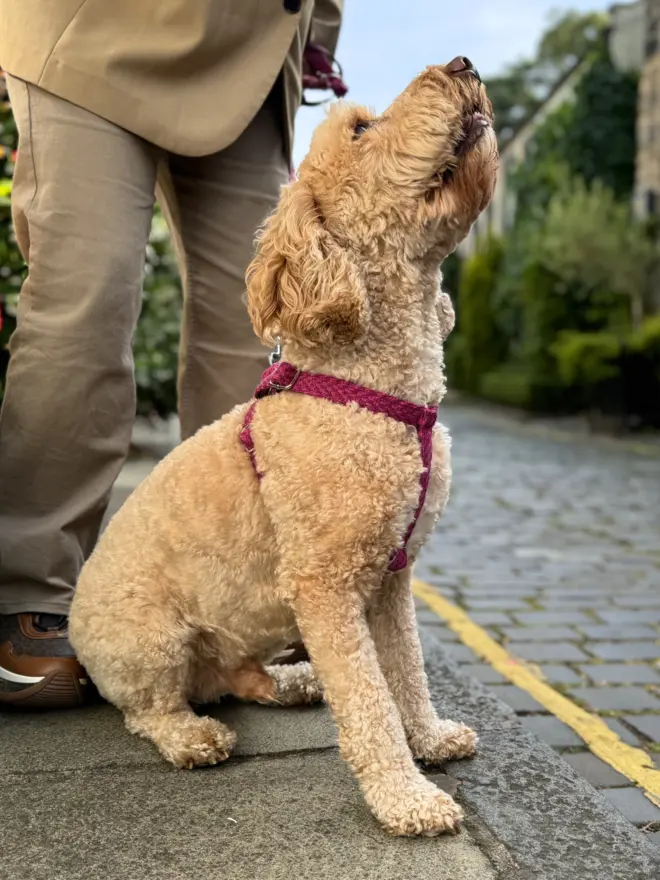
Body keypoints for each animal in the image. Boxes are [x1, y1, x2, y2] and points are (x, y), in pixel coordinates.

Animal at [69, 56, 498, 840]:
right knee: (150, 710)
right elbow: (370, 701)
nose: (462, 65)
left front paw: (429, 739)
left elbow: (407, 671)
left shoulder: (391, 576)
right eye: (360, 129)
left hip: (240, 640)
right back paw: (193, 737)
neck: (366, 389)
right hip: (150, 640)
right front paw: (407, 797)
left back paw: (294, 683)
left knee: (242, 680)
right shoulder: (325, 585)